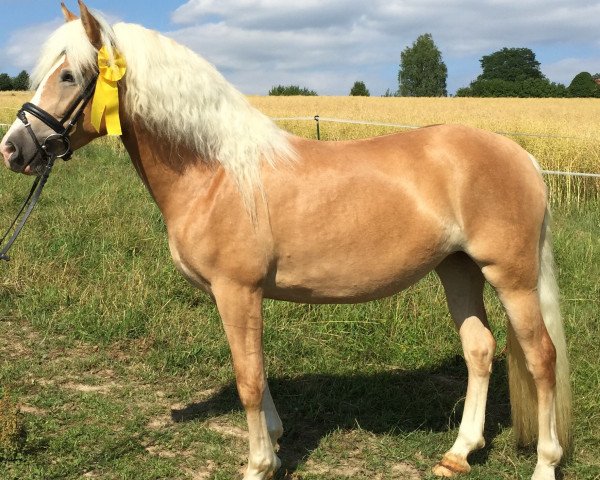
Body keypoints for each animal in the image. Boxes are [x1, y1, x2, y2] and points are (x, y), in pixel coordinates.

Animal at [0, 1, 572, 478]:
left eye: (69, 74)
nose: (12, 148)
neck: (216, 172)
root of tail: (521, 156)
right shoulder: (241, 296)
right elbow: (258, 370)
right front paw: (274, 444)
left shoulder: (237, 291)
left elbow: (248, 378)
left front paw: (258, 465)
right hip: (458, 268)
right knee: (480, 349)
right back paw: (459, 453)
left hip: (512, 277)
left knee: (542, 357)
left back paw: (545, 464)